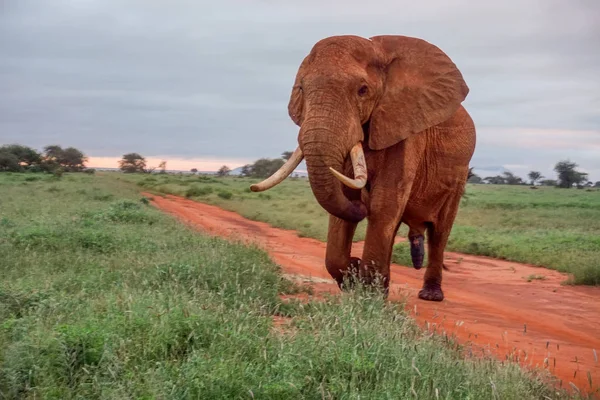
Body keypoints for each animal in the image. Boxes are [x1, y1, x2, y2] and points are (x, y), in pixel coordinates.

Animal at [248, 36, 474, 302]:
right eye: (301, 89)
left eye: (362, 90)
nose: (362, 205)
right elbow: (345, 201)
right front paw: (355, 276)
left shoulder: (406, 128)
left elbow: (385, 201)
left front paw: (369, 295)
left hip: (458, 177)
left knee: (439, 232)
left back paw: (430, 295)